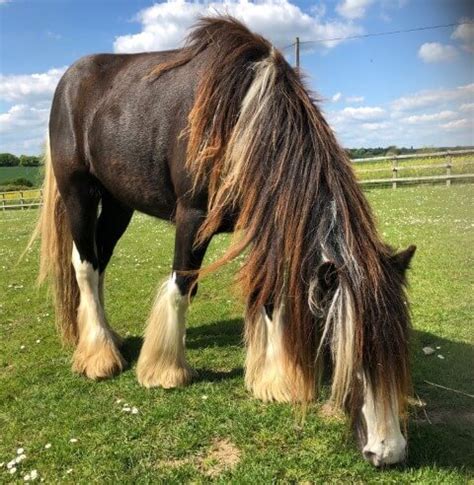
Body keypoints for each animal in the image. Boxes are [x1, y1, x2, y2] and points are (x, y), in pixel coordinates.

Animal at [32, 17, 414, 466]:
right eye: (347, 352)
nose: (388, 451)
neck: (244, 117)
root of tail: (69, 79)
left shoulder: (261, 225)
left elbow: (270, 295)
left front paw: (276, 380)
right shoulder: (192, 218)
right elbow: (181, 286)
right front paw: (166, 371)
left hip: (118, 204)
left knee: (101, 261)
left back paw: (111, 338)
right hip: (79, 193)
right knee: (86, 266)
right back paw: (98, 356)